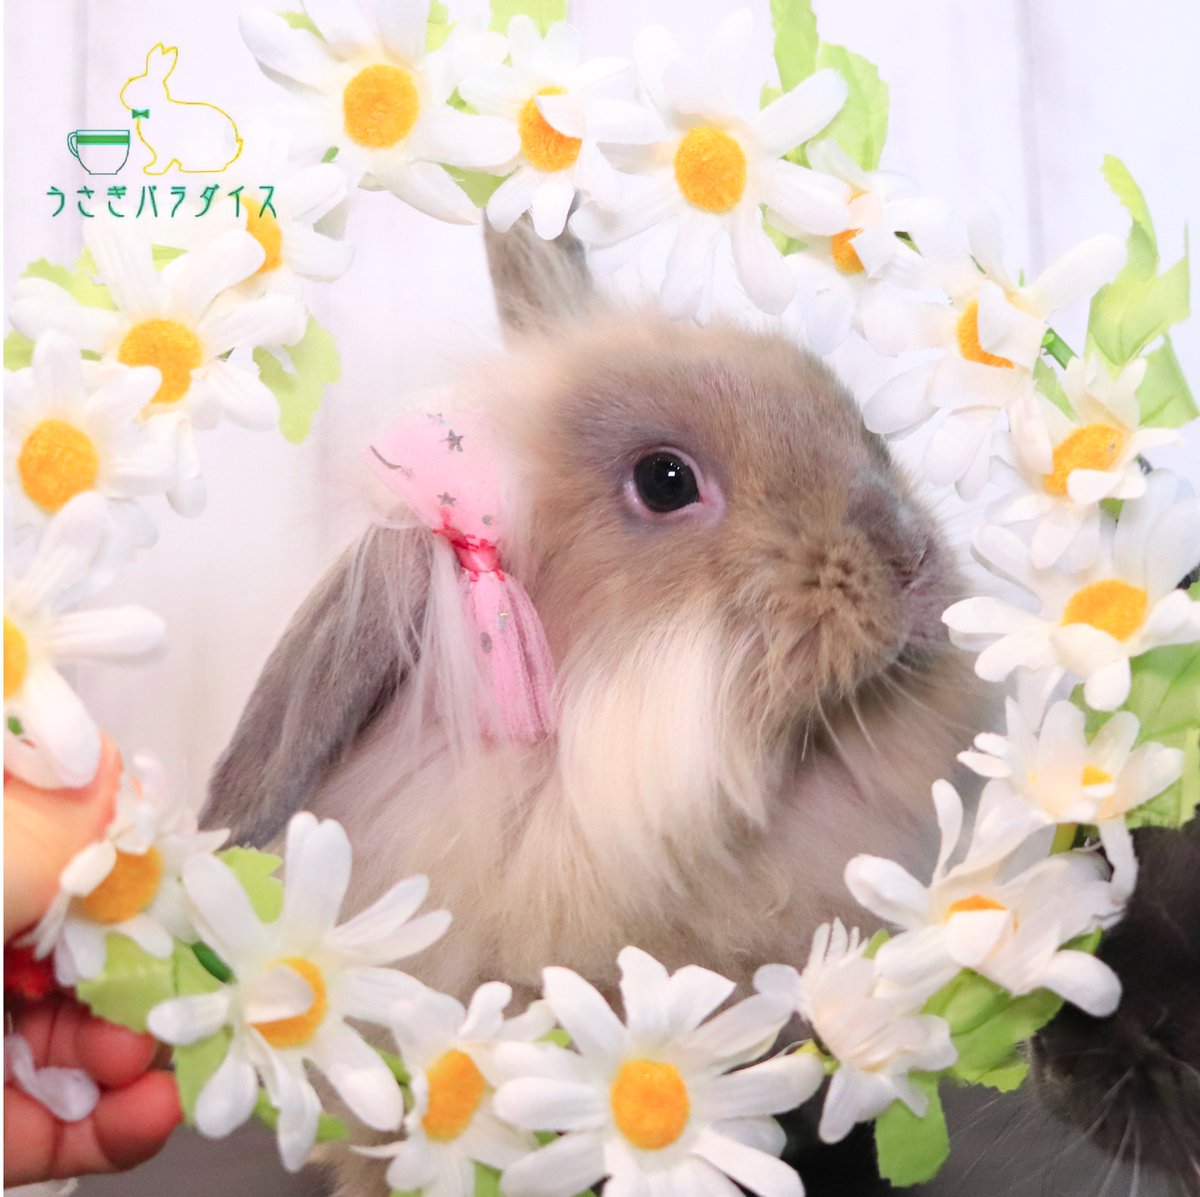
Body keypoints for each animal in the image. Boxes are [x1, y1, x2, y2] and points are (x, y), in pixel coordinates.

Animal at [119, 43, 243, 175]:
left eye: (139, 87)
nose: (124, 96)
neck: (156, 106)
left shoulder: (164, 148)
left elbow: (162, 160)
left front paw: (153, 170)